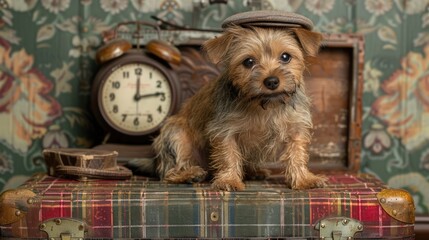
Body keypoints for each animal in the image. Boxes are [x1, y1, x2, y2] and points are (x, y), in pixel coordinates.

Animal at [152, 23, 326, 191]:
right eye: (248, 62)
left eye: (285, 57)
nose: (271, 81)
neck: (265, 105)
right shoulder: (225, 130)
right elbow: (228, 155)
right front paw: (229, 180)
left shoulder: (296, 128)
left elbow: (296, 154)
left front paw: (304, 179)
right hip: (176, 134)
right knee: (170, 171)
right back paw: (189, 174)